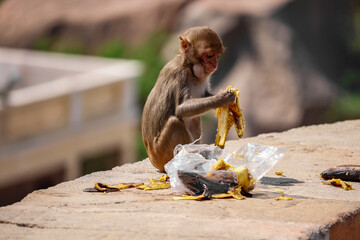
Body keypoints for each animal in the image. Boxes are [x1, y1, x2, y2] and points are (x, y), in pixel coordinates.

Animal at [141, 26, 236, 172]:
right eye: (210, 55)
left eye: (218, 56)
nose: (215, 64)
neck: (189, 66)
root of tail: (152, 159)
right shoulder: (179, 75)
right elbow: (180, 109)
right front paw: (221, 99)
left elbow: (203, 95)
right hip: (160, 155)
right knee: (175, 122)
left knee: (195, 119)